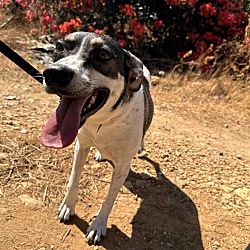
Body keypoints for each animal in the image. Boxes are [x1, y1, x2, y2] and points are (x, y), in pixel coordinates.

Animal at [40, 31, 153, 244]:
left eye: (103, 54)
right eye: (59, 46)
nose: (55, 73)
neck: (103, 120)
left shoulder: (123, 166)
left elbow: (109, 199)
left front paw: (98, 225)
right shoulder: (81, 146)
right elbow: (73, 179)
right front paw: (68, 206)